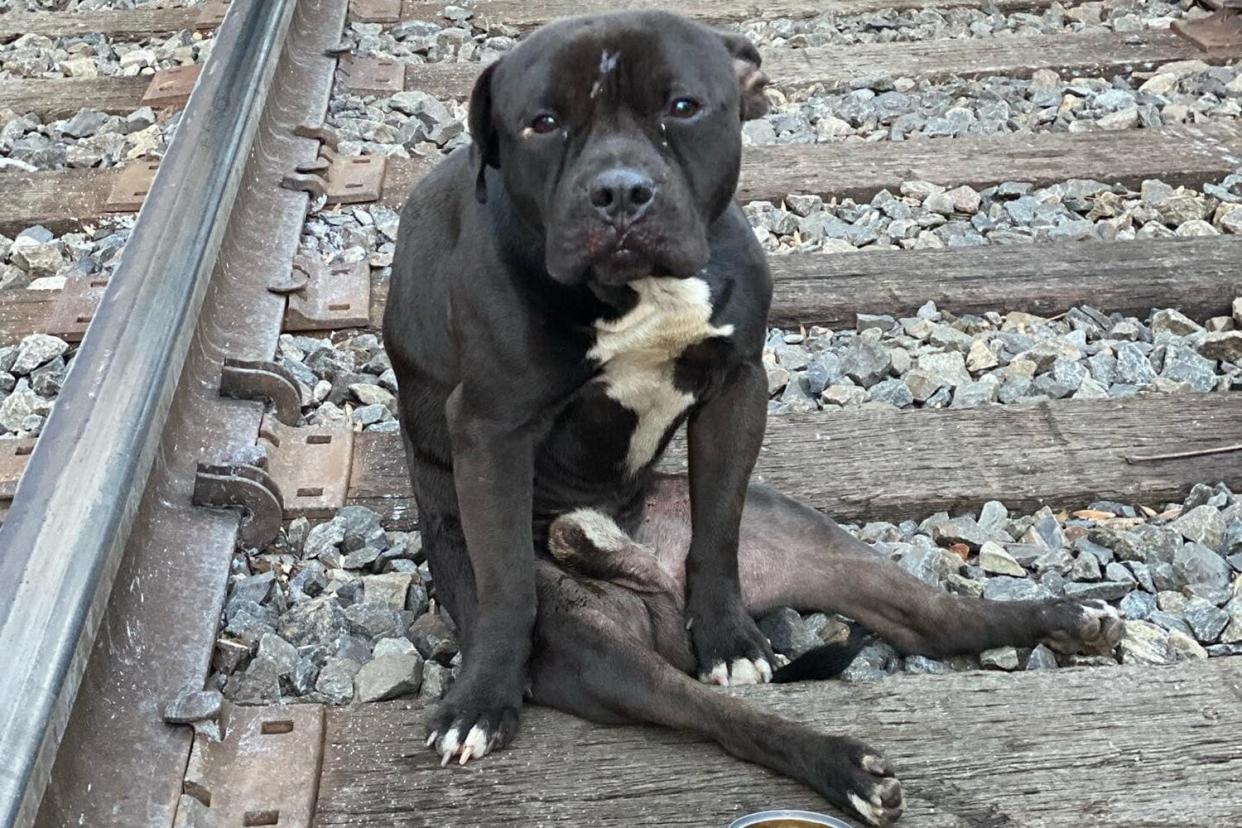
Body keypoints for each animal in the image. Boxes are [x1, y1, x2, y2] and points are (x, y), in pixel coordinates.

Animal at [380, 11, 1127, 824]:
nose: (619, 191)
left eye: (683, 107)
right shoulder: (492, 431)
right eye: (542, 124)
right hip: (595, 652)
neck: (642, 290)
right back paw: (847, 767)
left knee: (936, 619)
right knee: (711, 711)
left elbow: (719, 526)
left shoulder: (739, 389)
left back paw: (1062, 620)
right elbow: (508, 581)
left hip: (818, 543)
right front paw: (482, 701)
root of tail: (636, 562)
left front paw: (728, 634)